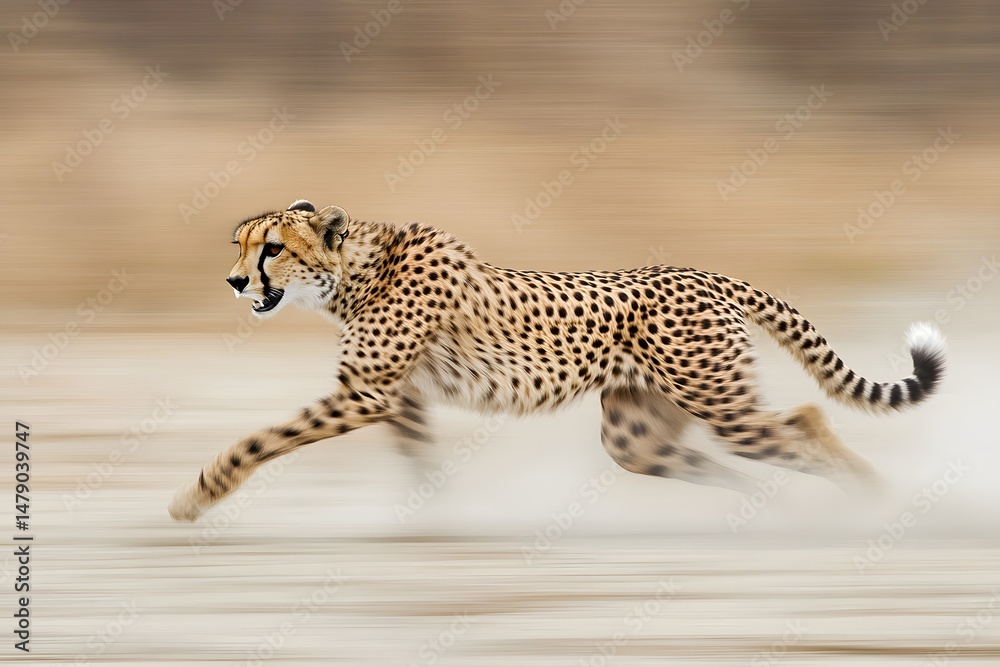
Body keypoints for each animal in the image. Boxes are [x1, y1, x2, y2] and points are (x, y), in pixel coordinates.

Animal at [168, 199, 946, 522]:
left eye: (271, 248)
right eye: (241, 246)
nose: (235, 282)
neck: (356, 272)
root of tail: (700, 271)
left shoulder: (365, 393)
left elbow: (262, 439)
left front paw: (197, 494)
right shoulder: (399, 398)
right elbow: (420, 463)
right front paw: (437, 519)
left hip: (717, 401)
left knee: (807, 420)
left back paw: (874, 499)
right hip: (634, 434)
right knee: (735, 460)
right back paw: (770, 509)